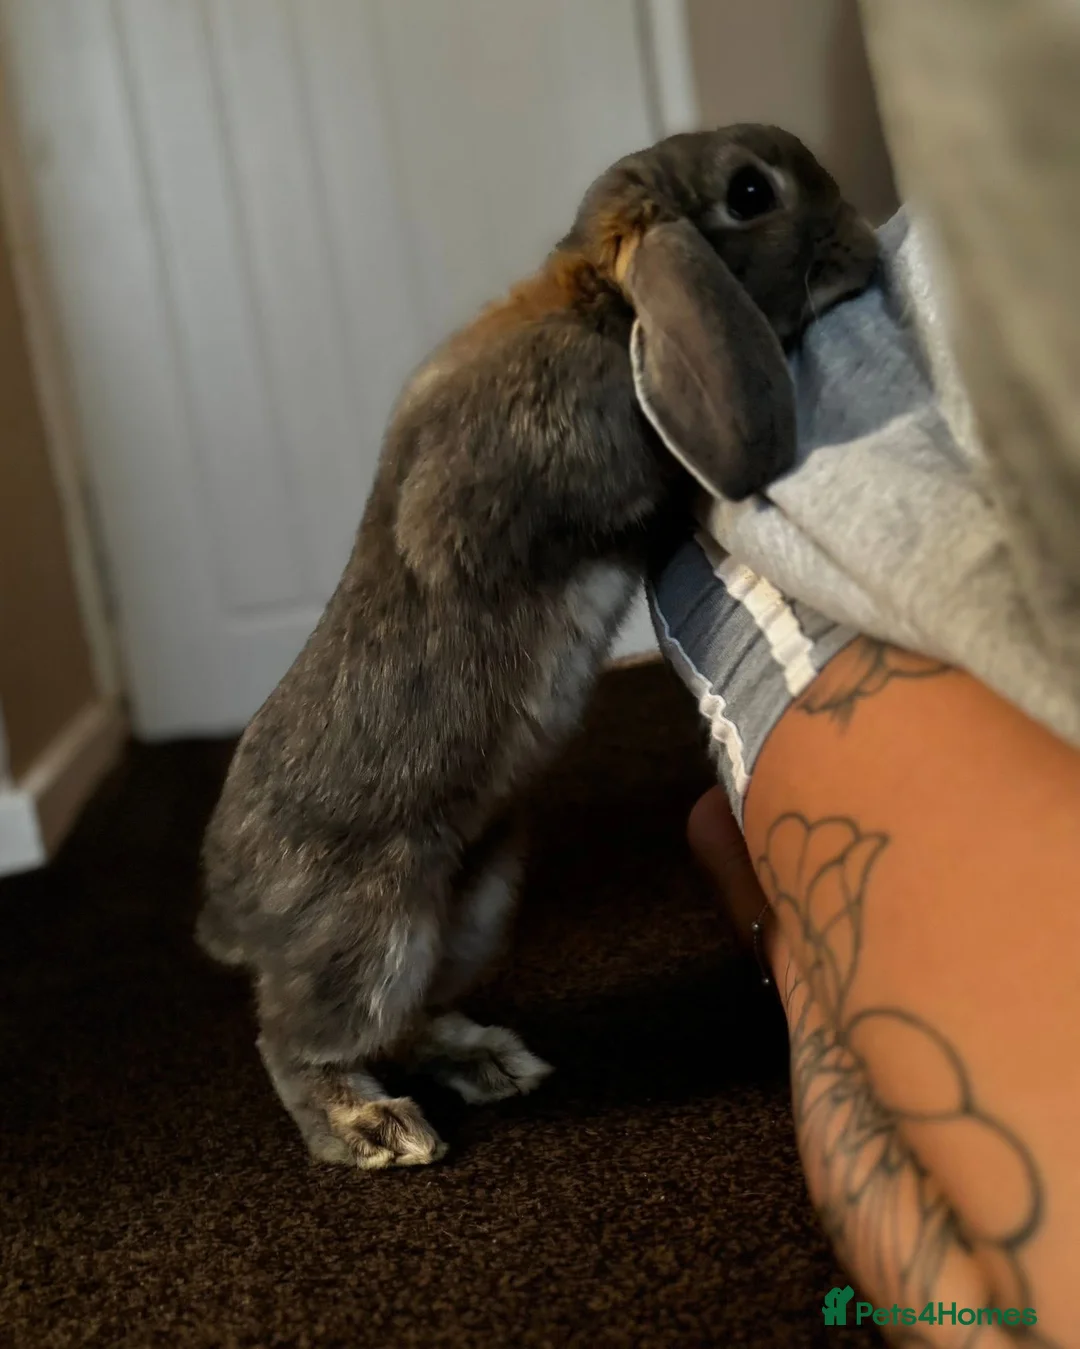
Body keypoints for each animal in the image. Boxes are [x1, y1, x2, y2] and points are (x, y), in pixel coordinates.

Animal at [196, 124, 878, 1170]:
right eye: (751, 194)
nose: (866, 244)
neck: (601, 303)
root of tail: (229, 910)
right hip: (372, 931)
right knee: (301, 1041)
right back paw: (375, 1129)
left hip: (474, 904)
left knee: (409, 1018)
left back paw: (494, 1063)